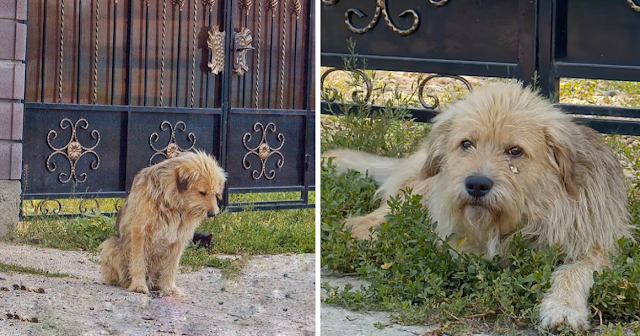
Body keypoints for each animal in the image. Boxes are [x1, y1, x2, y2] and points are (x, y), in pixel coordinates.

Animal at [100, 151, 228, 296]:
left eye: (216, 193)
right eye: (202, 192)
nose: (213, 213)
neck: (172, 203)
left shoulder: (178, 239)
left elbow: (171, 266)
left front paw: (168, 287)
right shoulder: (139, 232)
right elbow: (138, 262)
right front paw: (138, 285)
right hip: (110, 245)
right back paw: (130, 283)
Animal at [324, 82, 636, 330]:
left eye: (515, 151)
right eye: (466, 144)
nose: (476, 184)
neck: (532, 211)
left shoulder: (595, 246)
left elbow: (574, 271)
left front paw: (563, 308)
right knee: (359, 223)